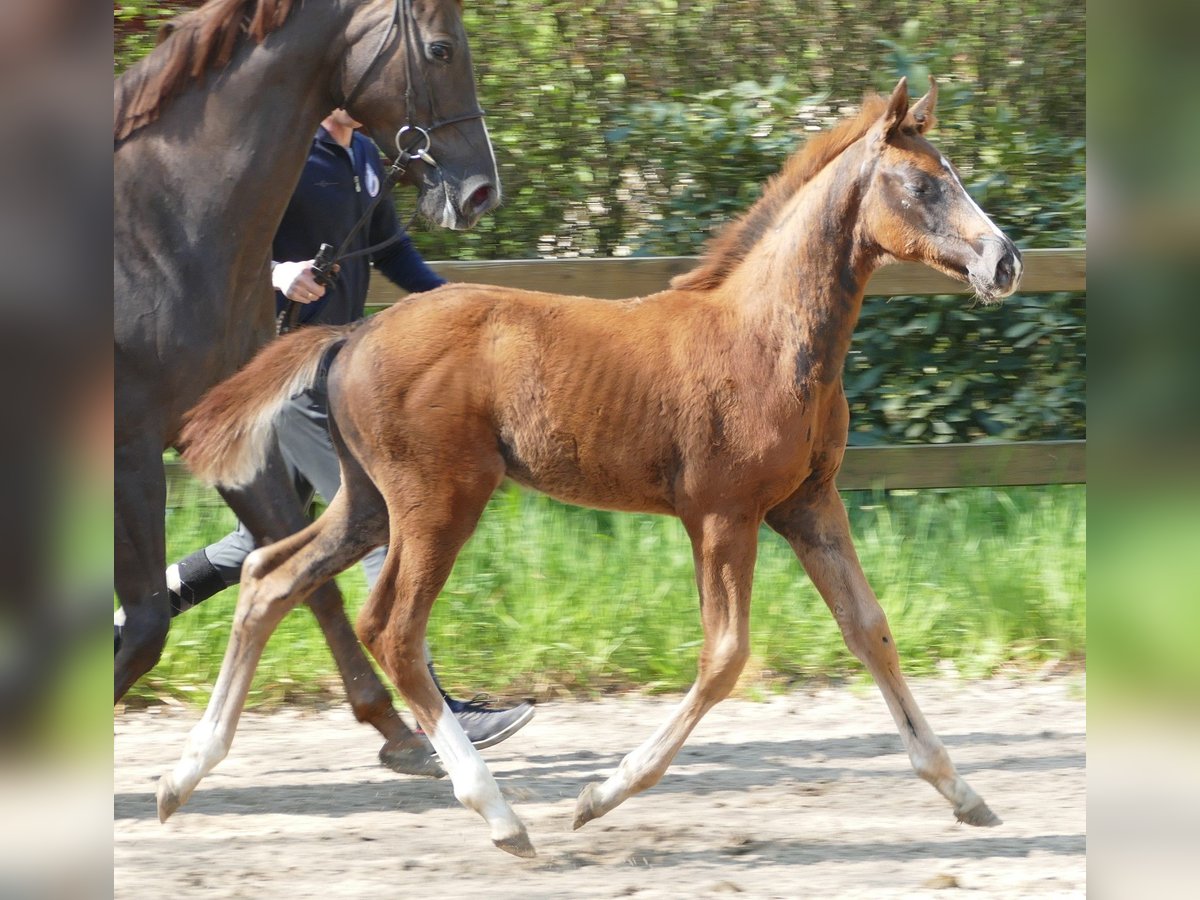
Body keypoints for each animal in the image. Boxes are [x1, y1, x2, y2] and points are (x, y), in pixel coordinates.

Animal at [115, 0, 496, 777]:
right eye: (441, 49)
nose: (482, 190)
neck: (159, 230)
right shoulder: (127, 447)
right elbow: (144, 625)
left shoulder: (220, 438)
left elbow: (300, 579)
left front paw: (398, 729)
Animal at [159, 79, 1022, 859]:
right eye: (923, 184)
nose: (1005, 260)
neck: (766, 336)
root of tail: (353, 333)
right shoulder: (723, 515)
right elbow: (725, 656)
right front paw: (601, 795)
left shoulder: (809, 505)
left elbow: (870, 628)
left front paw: (964, 793)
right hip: (439, 501)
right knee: (391, 628)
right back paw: (499, 815)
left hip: (368, 500)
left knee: (270, 577)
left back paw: (183, 776)